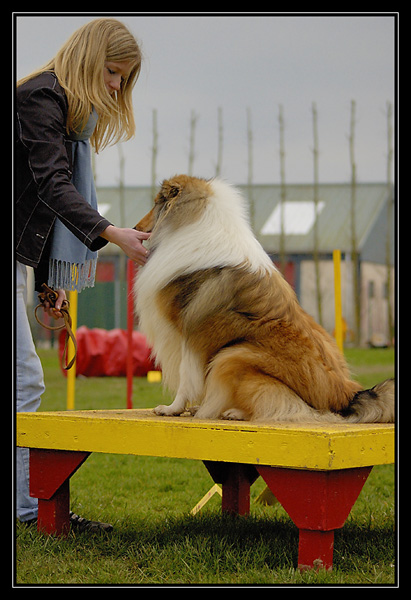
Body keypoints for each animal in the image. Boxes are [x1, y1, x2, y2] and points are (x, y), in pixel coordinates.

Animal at [134, 176, 394, 424]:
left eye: (156, 202)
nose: (135, 227)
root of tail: (347, 397)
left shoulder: (188, 335)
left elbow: (186, 379)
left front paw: (171, 409)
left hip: (232, 355)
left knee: (279, 406)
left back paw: (234, 412)